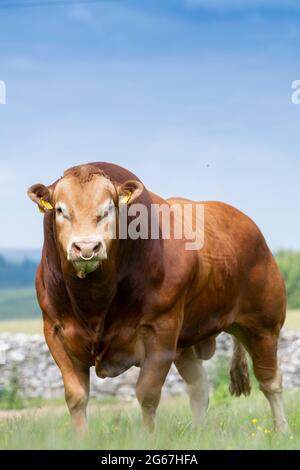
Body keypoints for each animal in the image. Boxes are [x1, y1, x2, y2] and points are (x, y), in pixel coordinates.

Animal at [27, 162, 288, 434]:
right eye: (60, 210)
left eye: (108, 209)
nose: (87, 248)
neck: (94, 304)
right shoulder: (56, 331)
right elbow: (76, 396)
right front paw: (81, 438)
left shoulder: (161, 331)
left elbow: (148, 394)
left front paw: (146, 437)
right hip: (186, 341)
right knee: (199, 386)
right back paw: (198, 432)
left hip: (263, 326)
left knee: (270, 381)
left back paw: (282, 431)